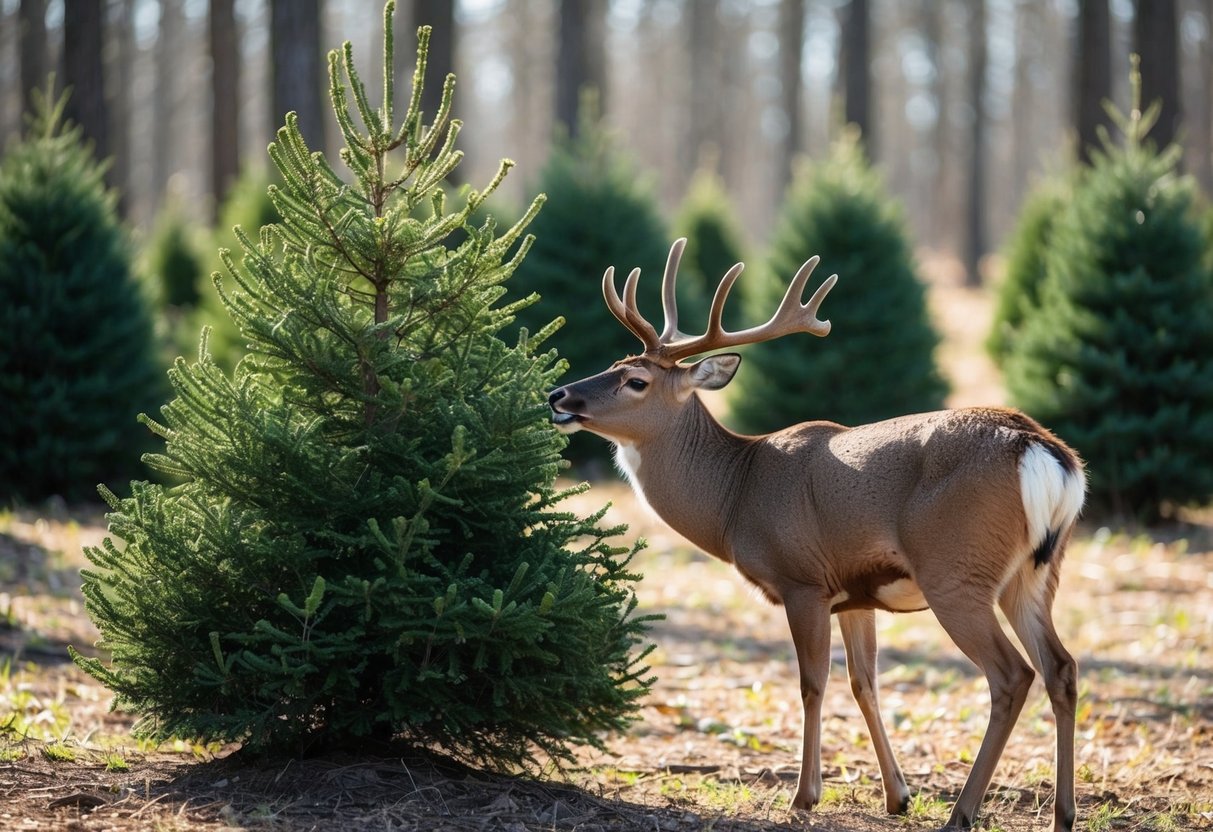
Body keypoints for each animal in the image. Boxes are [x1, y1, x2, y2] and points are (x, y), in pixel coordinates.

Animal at [545, 240, 1086, 832]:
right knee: (1062, 667)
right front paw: (897, 795)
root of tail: (1041, 450)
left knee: (1012, 675)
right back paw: (1063, 814)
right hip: (1034, 573)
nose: (558, 394)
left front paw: (804, 796)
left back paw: (962, 813)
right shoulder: (856, 593)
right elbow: (864, 682)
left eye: (636, 381)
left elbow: (812, 684)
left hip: (956, 571)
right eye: (614, 365)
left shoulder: (802, 580)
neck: (736, 495)